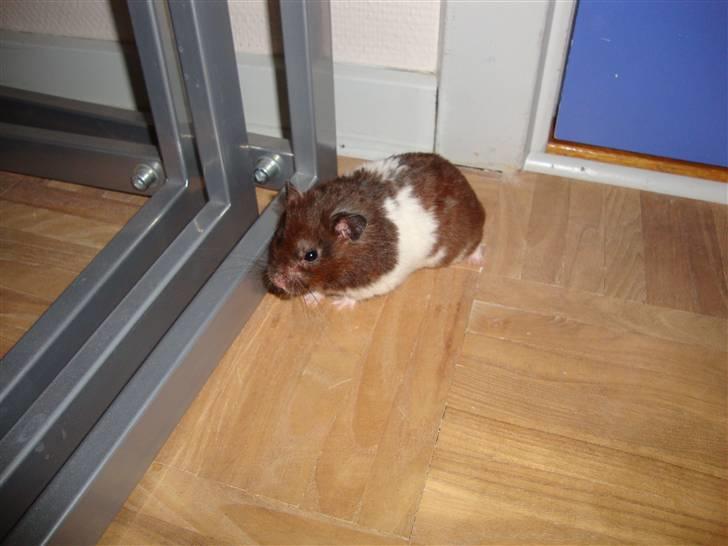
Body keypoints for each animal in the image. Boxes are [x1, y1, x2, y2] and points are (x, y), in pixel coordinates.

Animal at [265, 152, 485, 309]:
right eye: (278, 237)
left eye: (311, 255)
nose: (275, 279)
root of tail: (466, 185)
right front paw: (311, 300)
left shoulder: (374, 282)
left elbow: (352, 295)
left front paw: (339, 304)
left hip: (462, 241)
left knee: (477, 244)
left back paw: (477, 260)